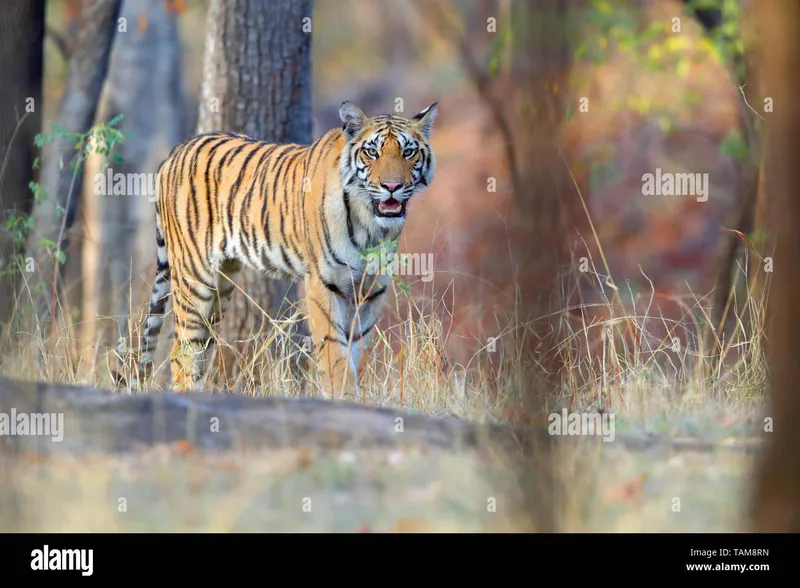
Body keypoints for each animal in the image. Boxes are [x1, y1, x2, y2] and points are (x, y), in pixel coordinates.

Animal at [126, 101, 438, 400]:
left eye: (408, 152)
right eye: (372, 152)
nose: (392, 186)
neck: (371, 226)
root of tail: (175, 151)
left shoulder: (371, 289)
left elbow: (356, 353)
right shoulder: (324, 284)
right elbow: (336, 356)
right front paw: (344, 399)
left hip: (221, 285)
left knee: (203, 348)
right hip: (195, 278)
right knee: (181, 354)